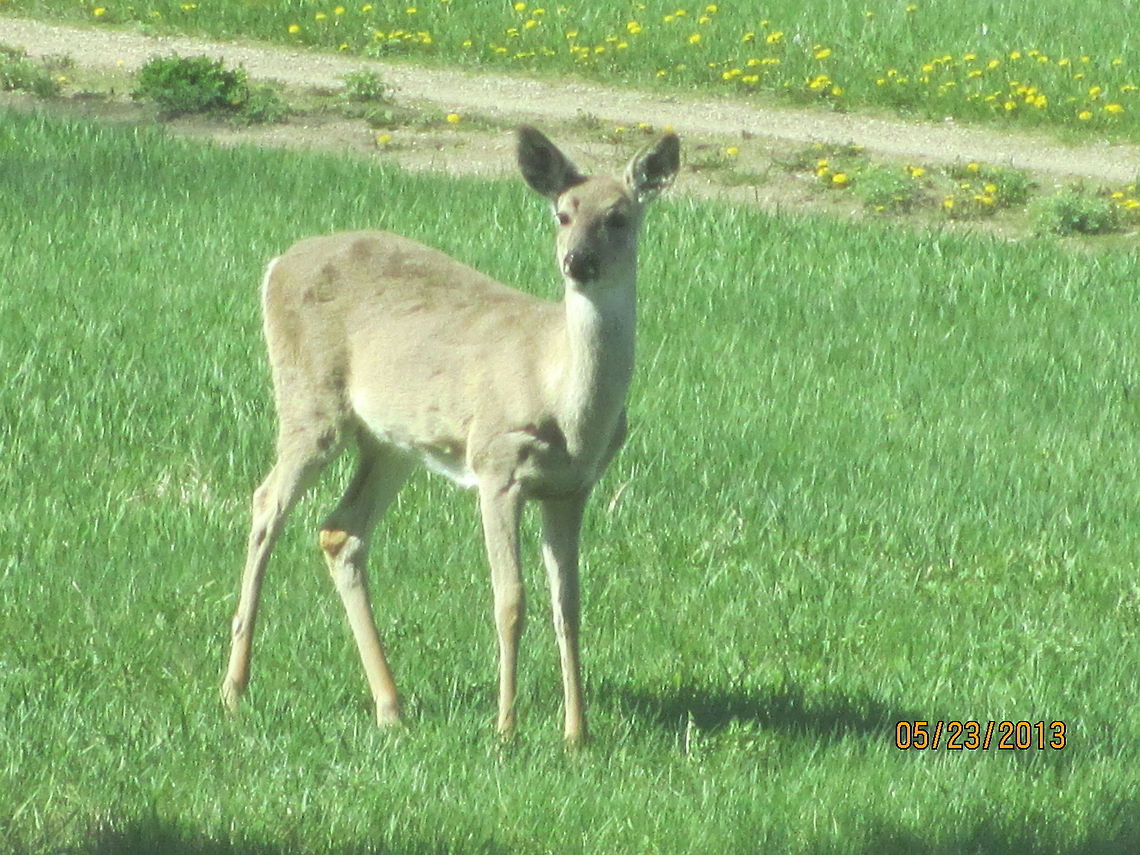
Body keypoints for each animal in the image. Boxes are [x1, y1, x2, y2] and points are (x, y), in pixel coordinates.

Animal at [221, 125, 680, 744]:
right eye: (562, 213)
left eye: (619, 217)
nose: (576, 261)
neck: (566, 400)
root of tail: (278, 263)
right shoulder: (496, 466)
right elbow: (511, 601)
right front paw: (506, 730)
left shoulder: (571, 488)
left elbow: (570, 606)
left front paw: (576, 735)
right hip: (310, 399)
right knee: (267, 503)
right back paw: (234, 689)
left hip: (392, 441)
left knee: (341, 530)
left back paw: (391, 706)